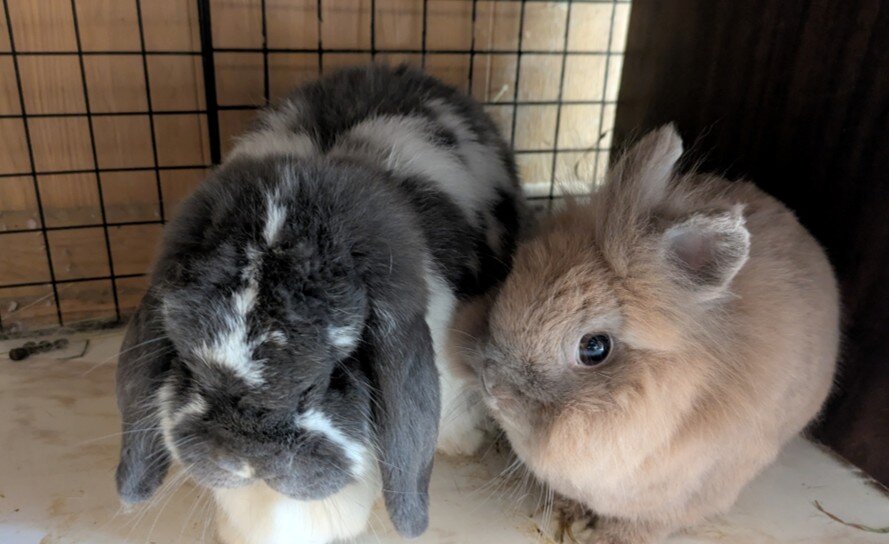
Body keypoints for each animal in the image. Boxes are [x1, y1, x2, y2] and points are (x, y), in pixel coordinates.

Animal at [454, 125, 840, 543]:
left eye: (594, 348)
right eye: (509, 283)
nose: (492, 386)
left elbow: (649, 522)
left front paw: (605, 536)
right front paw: (570, 512)